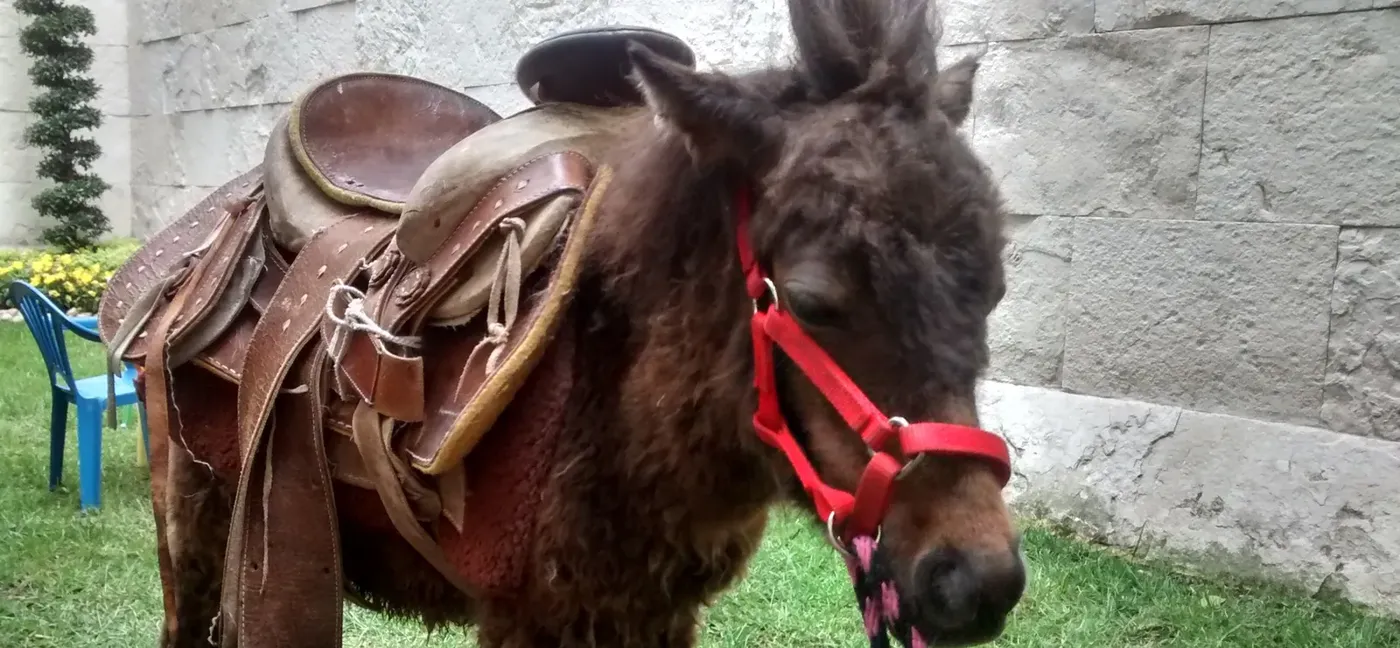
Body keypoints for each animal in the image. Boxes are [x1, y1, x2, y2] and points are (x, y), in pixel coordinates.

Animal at [99, 0, 1025, 646]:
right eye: (811, 301)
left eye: (992, 290)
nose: (978, 580)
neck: (622, 403)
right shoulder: (529, 612)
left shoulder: (651, 610)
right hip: (188, 512)